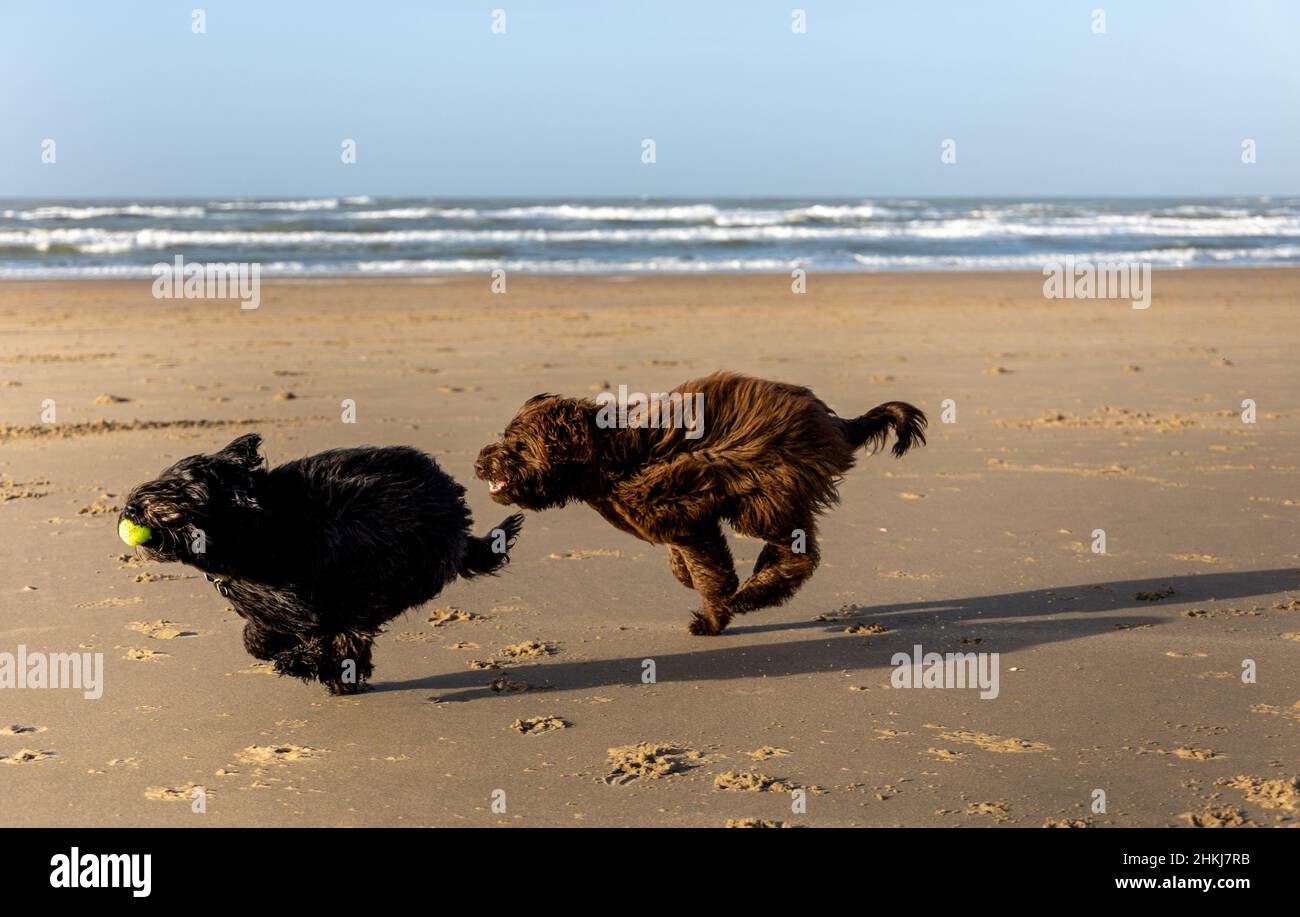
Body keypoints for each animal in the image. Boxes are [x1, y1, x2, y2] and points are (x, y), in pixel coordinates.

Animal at [118, 431, 522, 691]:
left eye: (175, 488)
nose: (130, 508)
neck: (255, 527)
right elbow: (256, 636)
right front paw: (276, 647)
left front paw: (303, 659)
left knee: (351, 629)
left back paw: (325, 667)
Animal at [478, 372, 925, 637]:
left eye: (519, 445)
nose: (480, 462)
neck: (605, 454)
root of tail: (831, 420)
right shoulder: (688, 521)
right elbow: (688, 566)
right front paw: (691, 582)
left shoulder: (685, 507)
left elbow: (711, 576)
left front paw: (712, 617)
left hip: (764, 493)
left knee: (800, 554)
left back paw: (754, 593)